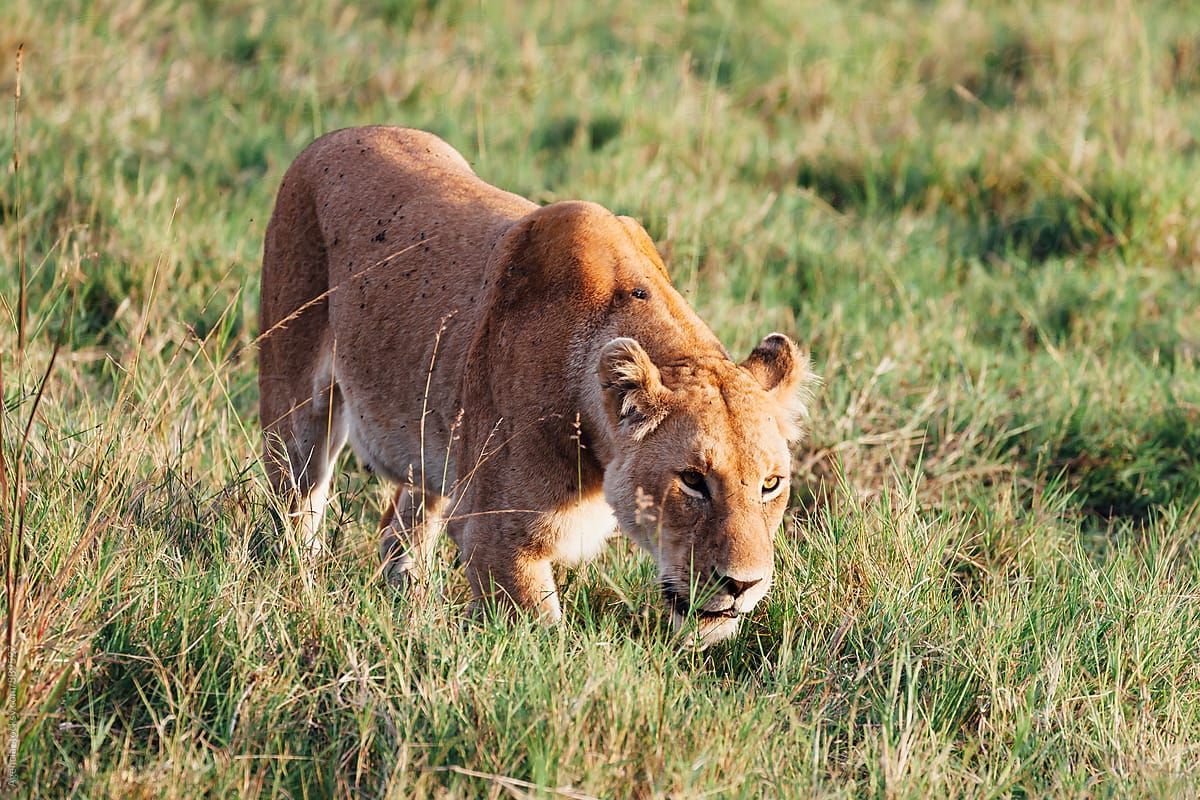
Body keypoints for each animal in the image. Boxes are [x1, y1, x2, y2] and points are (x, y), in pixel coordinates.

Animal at [259, 126, 814, 646]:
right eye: (693, 480)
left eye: (771, 484)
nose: (743, 584)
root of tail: (334, 137)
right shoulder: (497, 536)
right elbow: (548, 642)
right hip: (294, 408)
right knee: (294, 509)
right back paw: (297, 585)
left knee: (400, 528)